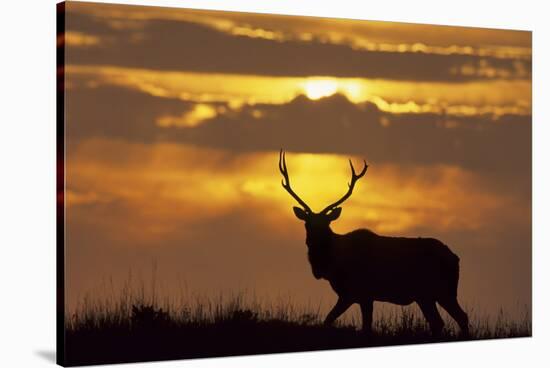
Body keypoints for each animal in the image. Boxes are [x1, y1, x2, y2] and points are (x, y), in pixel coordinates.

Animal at [280, 150, 470, 336]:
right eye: (307, 224)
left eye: (327, 224)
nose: (312, 241)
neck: (334, 266)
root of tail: (455, 258)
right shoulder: (352, 295)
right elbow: (329, 320)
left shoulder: (362, 293)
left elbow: (363, 327)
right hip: (426, 296)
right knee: (438, 322)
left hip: (443, 291)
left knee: (461, 317)